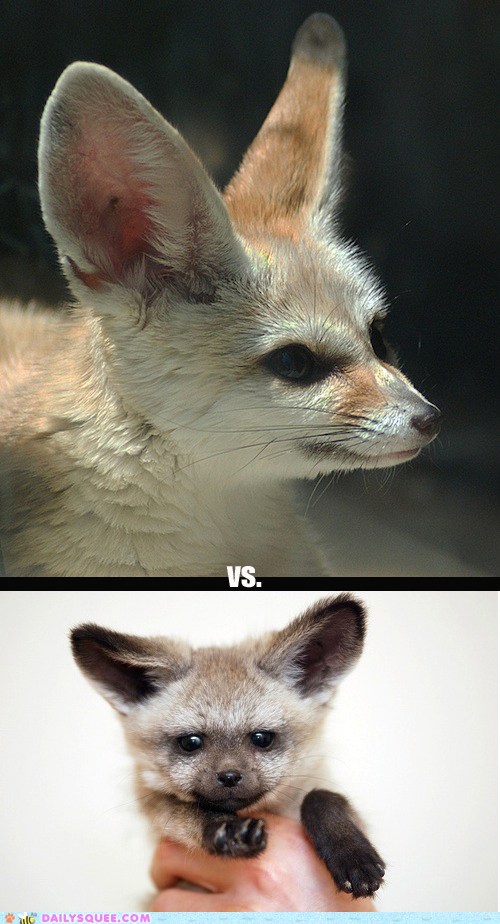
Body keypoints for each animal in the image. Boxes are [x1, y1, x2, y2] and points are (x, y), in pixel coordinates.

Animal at [71, 593, 386, 901]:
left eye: (262, 738)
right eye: (191, 742)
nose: (230, 777)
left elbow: (321, 797)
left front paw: (352, 856)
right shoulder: (159, 809)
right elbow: (188, 811)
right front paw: (229, 829)